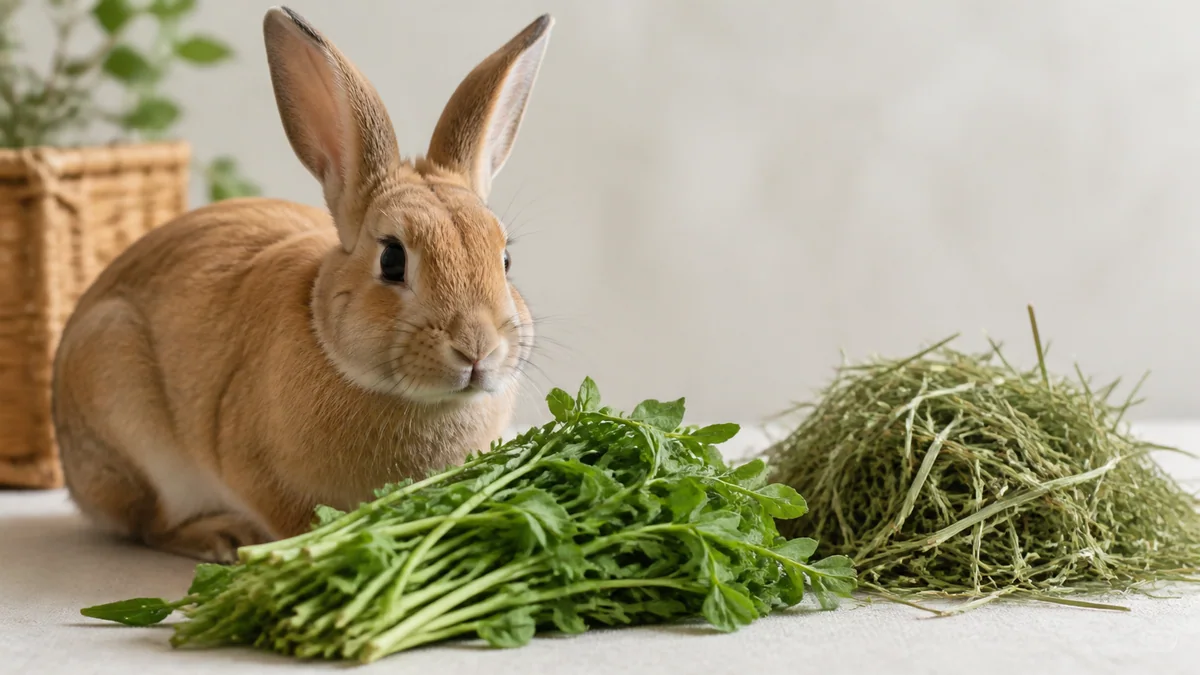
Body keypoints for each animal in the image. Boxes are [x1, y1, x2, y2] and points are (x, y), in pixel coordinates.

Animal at [50, 6, 553, 563]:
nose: (477, 349)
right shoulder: (254, 469)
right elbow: (292, 518)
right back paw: (219, 537)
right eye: (392, 259)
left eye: (505, 258)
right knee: (148, 521)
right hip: (124, 409)